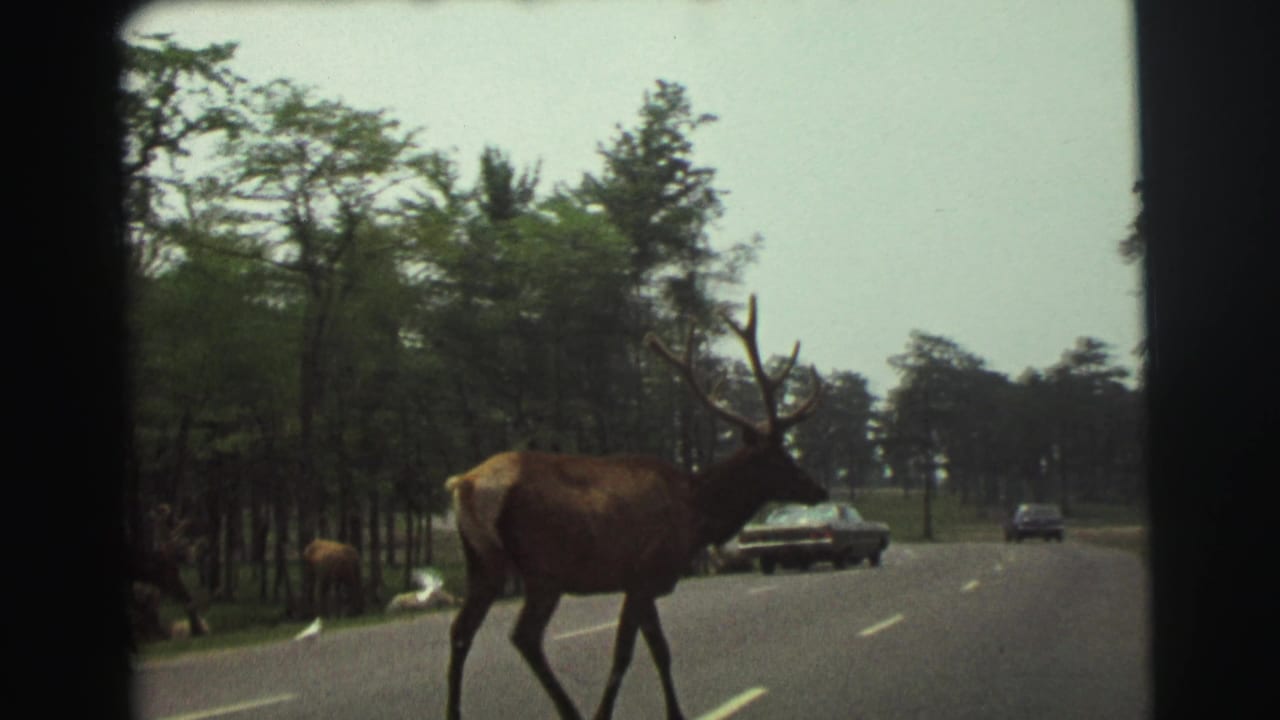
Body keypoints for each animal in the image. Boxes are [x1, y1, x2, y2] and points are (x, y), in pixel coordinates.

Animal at [444, 295, 828, 720]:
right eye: (780, 456)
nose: (820, 488)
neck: (697, 515)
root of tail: (466, 485)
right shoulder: (646, 571)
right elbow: (625, 655)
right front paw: (606, 714)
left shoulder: (643, 582)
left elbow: (660, 651)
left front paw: (675, 712)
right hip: (544, 567)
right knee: (524, 636)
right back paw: (571, 712)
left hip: (482, 562)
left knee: (461, 630)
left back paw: (454, 712)